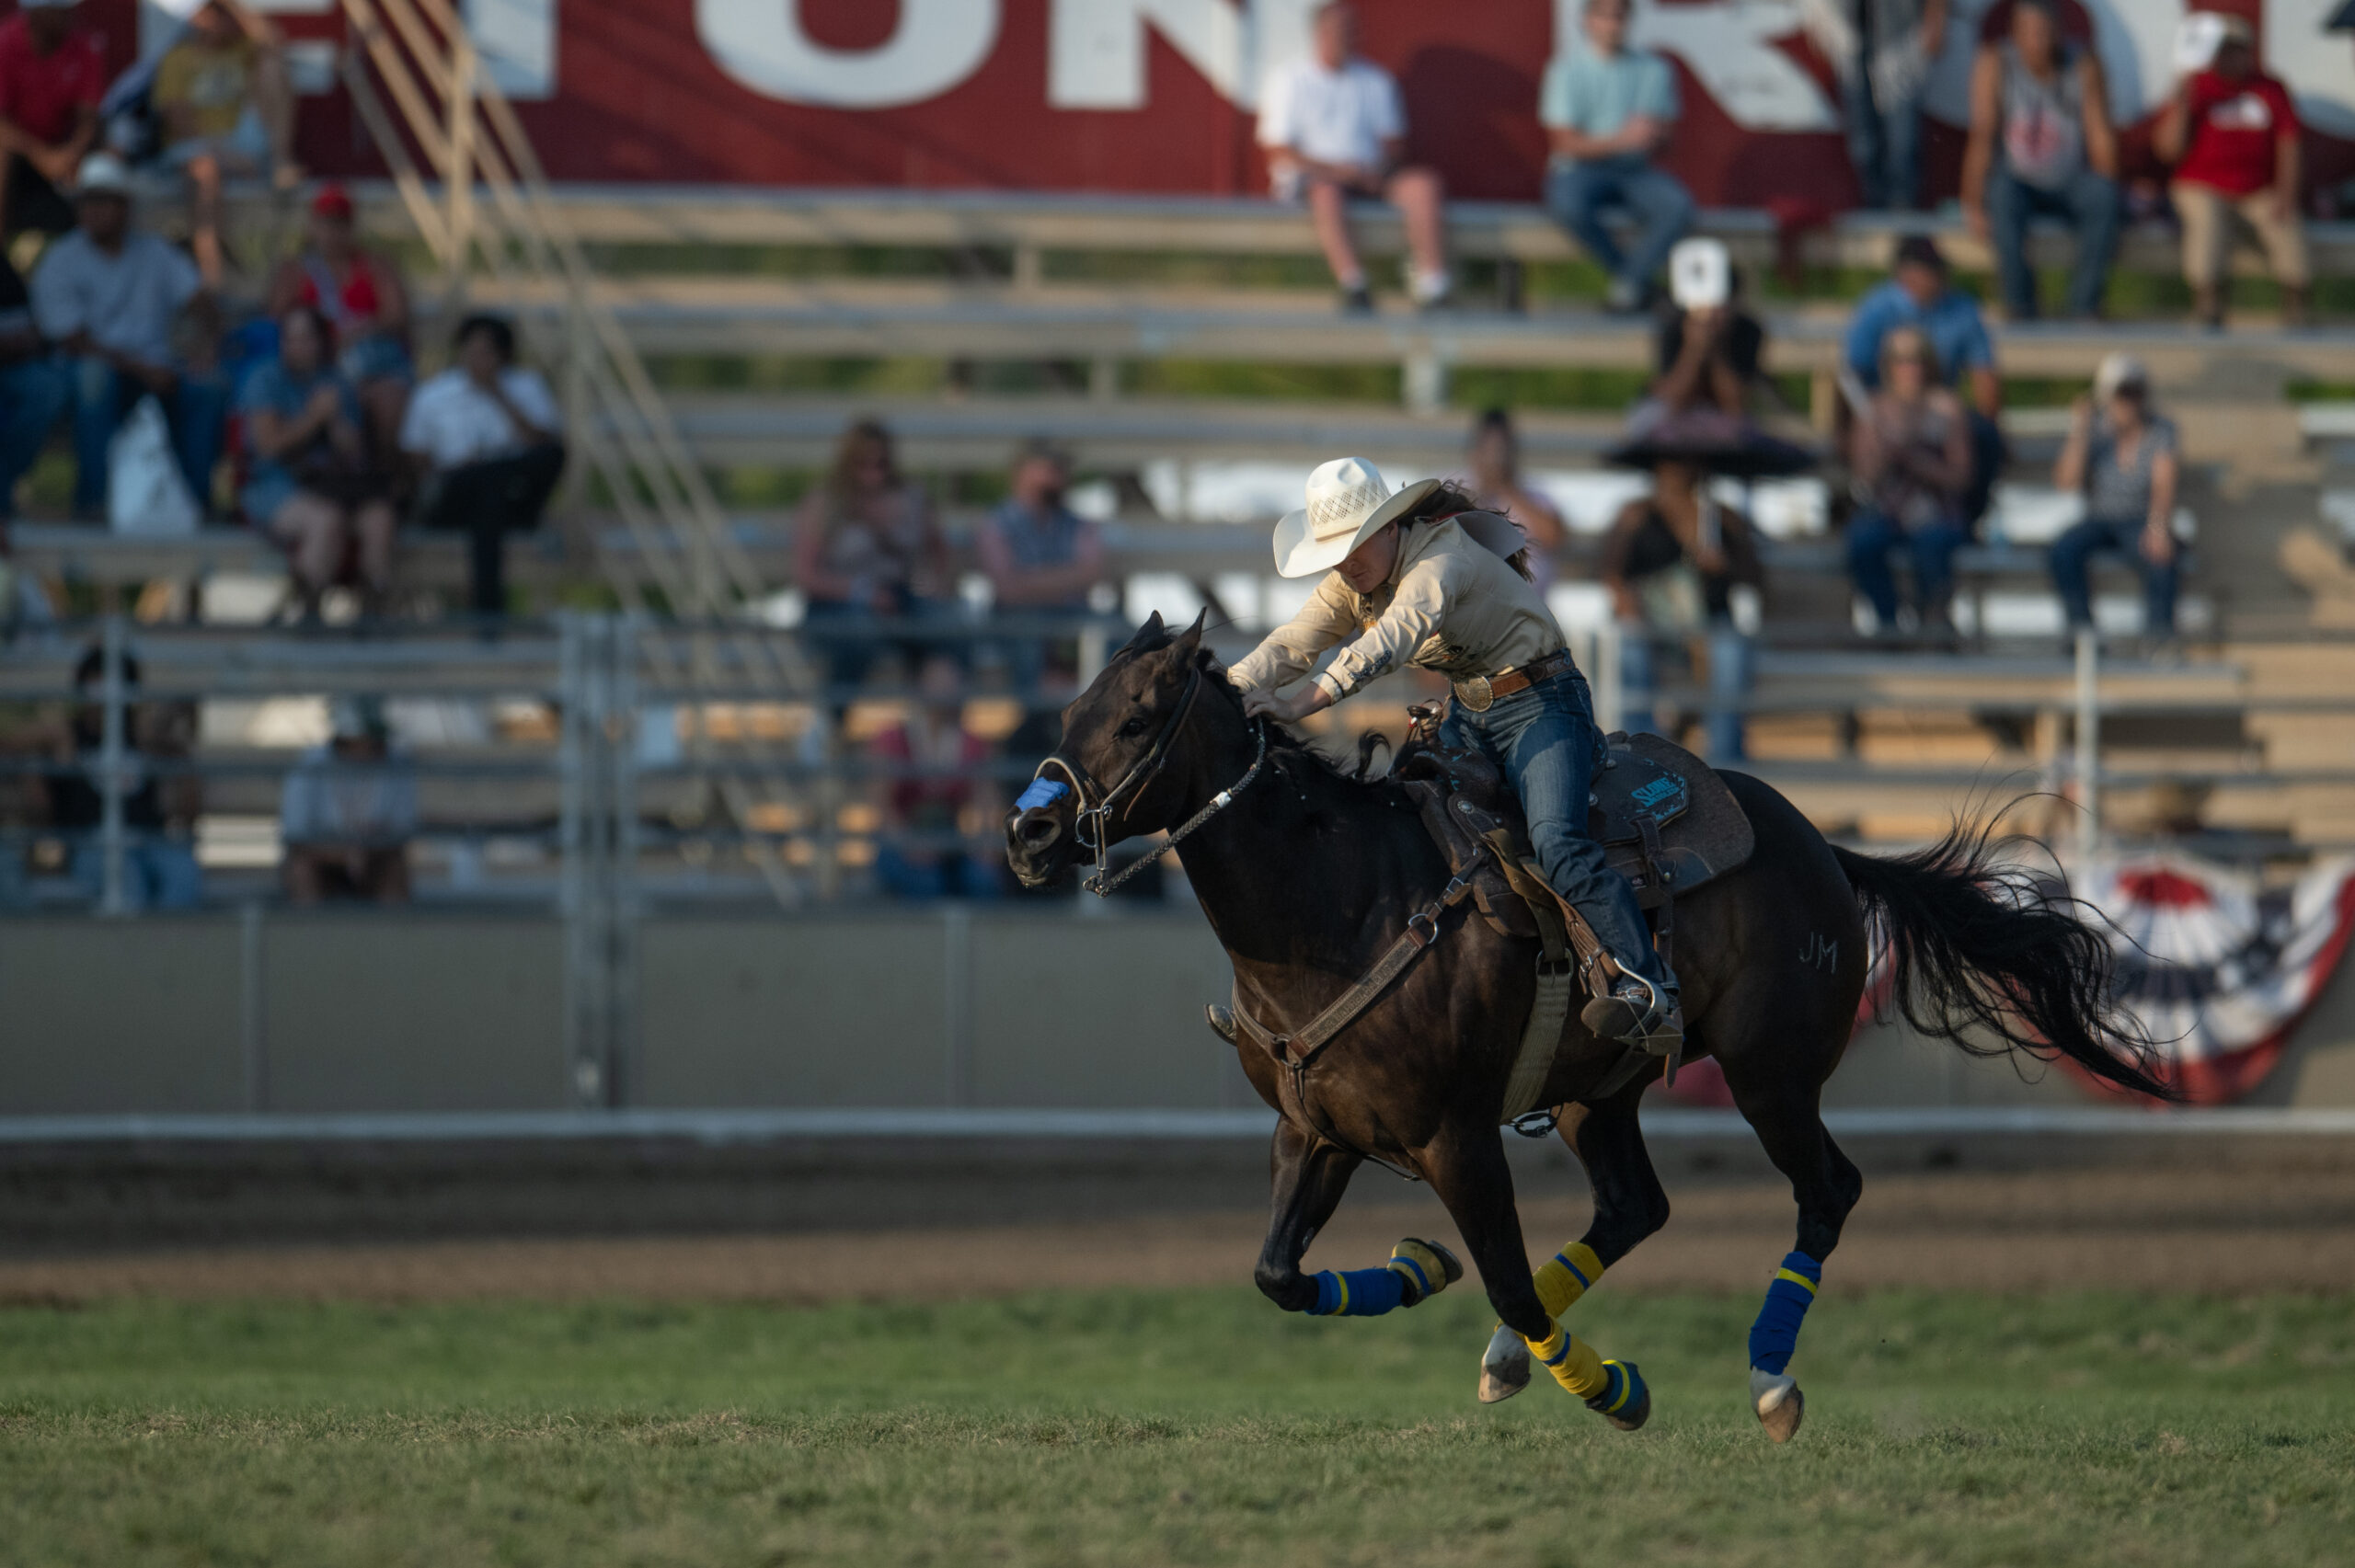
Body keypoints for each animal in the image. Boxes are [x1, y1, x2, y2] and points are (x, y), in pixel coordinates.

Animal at [1005, 612, 2169, 1440]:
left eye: (1138, 716)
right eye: (1067, 713)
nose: (1027, 832)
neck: (1346, 903)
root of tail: (1821, 844)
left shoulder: (1455, 1139)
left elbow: (1510, 1278)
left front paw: (1613, 1388)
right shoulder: (1318, 1131)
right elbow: (1279, 1275)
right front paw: (1421, 1267)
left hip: (1771, 1075)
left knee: (1826, 1190)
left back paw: (1768, 1376)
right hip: (1590, 1095)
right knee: (1634, 1204)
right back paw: (1511, 1358)